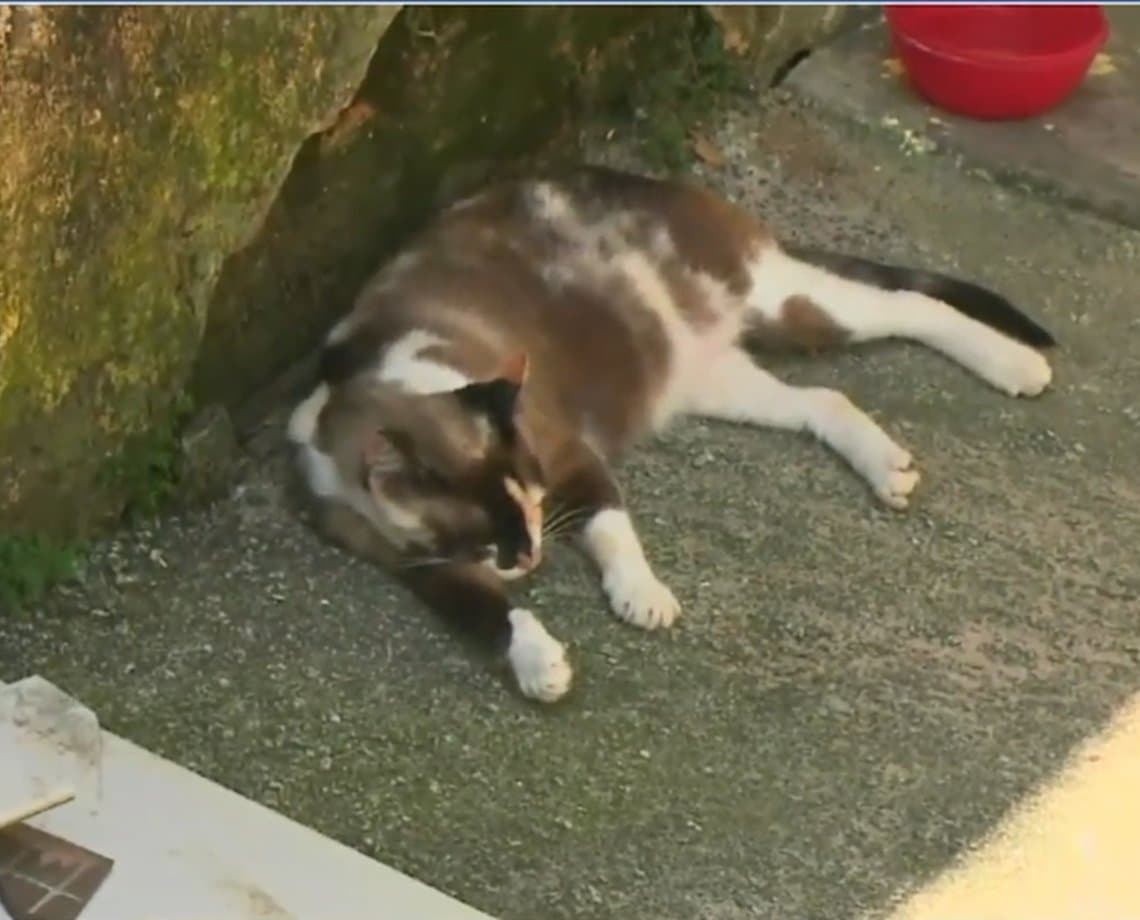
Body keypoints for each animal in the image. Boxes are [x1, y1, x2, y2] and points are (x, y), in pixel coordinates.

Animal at [289, 165, 1053, 702]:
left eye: (529, 498)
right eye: (483, 529)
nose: (531, 554)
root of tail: (662, 184)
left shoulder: (570, 456)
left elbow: (611, 527)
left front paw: (642, 598)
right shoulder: (424, 571)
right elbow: (498, 618)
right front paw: (540, 664)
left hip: (788, 303)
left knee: (913, 306)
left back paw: (1018, 366)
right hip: (717, 380)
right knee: (823, 400)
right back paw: (888, 468)